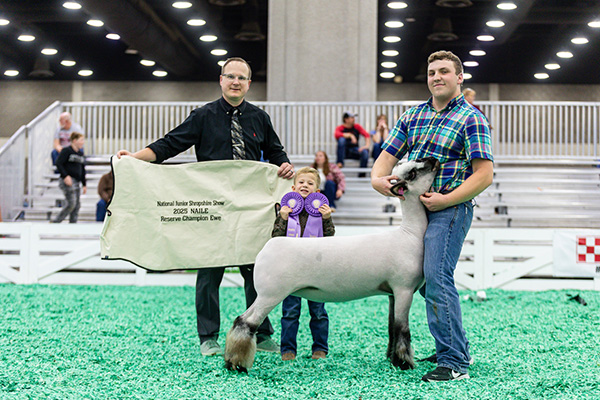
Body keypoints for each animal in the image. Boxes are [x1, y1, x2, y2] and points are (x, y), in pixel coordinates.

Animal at [224, 157, 440, 372]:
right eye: (413, 173)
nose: (434, 160)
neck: (410, 234)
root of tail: (266, 248)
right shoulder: (403, 289)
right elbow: (402, 328)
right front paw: (404, 363)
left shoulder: (392, 293)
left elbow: (391, 327)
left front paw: (391, 358)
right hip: (271, 294)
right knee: (246, 322)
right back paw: (237, 364)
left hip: (267, 294)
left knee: (241, 320)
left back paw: (230, 361)